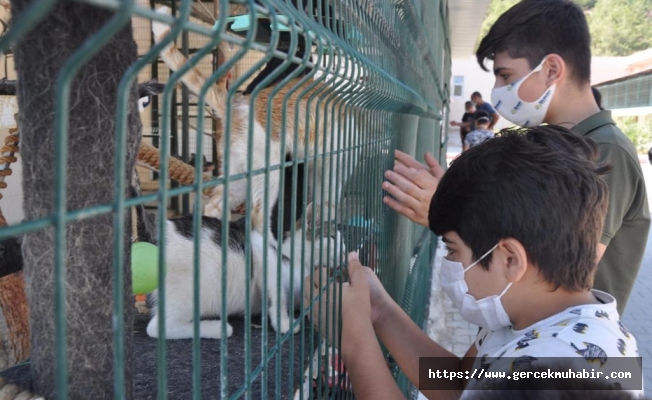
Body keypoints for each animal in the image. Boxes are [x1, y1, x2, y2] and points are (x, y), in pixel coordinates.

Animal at [151, 5, 360, 231]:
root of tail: (237, 105)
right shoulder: (336, 164)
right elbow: (329, 196)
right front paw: (324, 216)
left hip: (238, 172)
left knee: (215, 205)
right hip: (268, 170)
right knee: (258, 215)